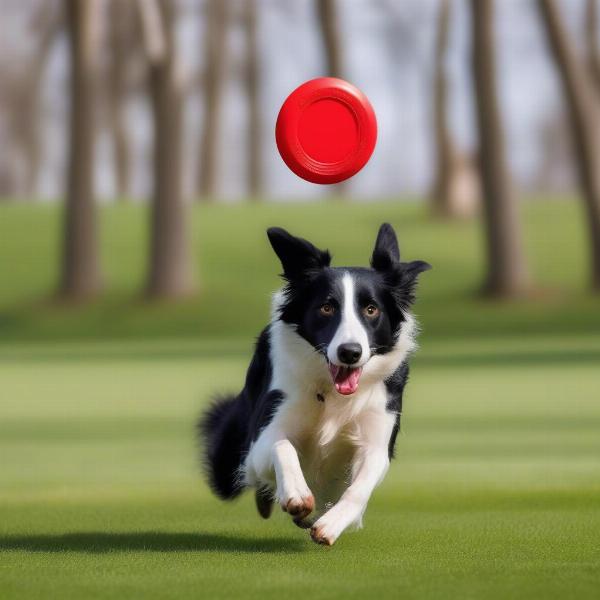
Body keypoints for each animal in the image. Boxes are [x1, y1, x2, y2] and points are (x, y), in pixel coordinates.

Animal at [202, 223, 432, 548]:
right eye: (326, 308)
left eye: (371, 310)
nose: (350, 352)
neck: (333, 392)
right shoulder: (261, 440)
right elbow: (283, 445)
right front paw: (297, 495)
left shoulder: (376, 440)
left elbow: (359, 487)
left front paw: (330, 525)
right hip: (227, 457)